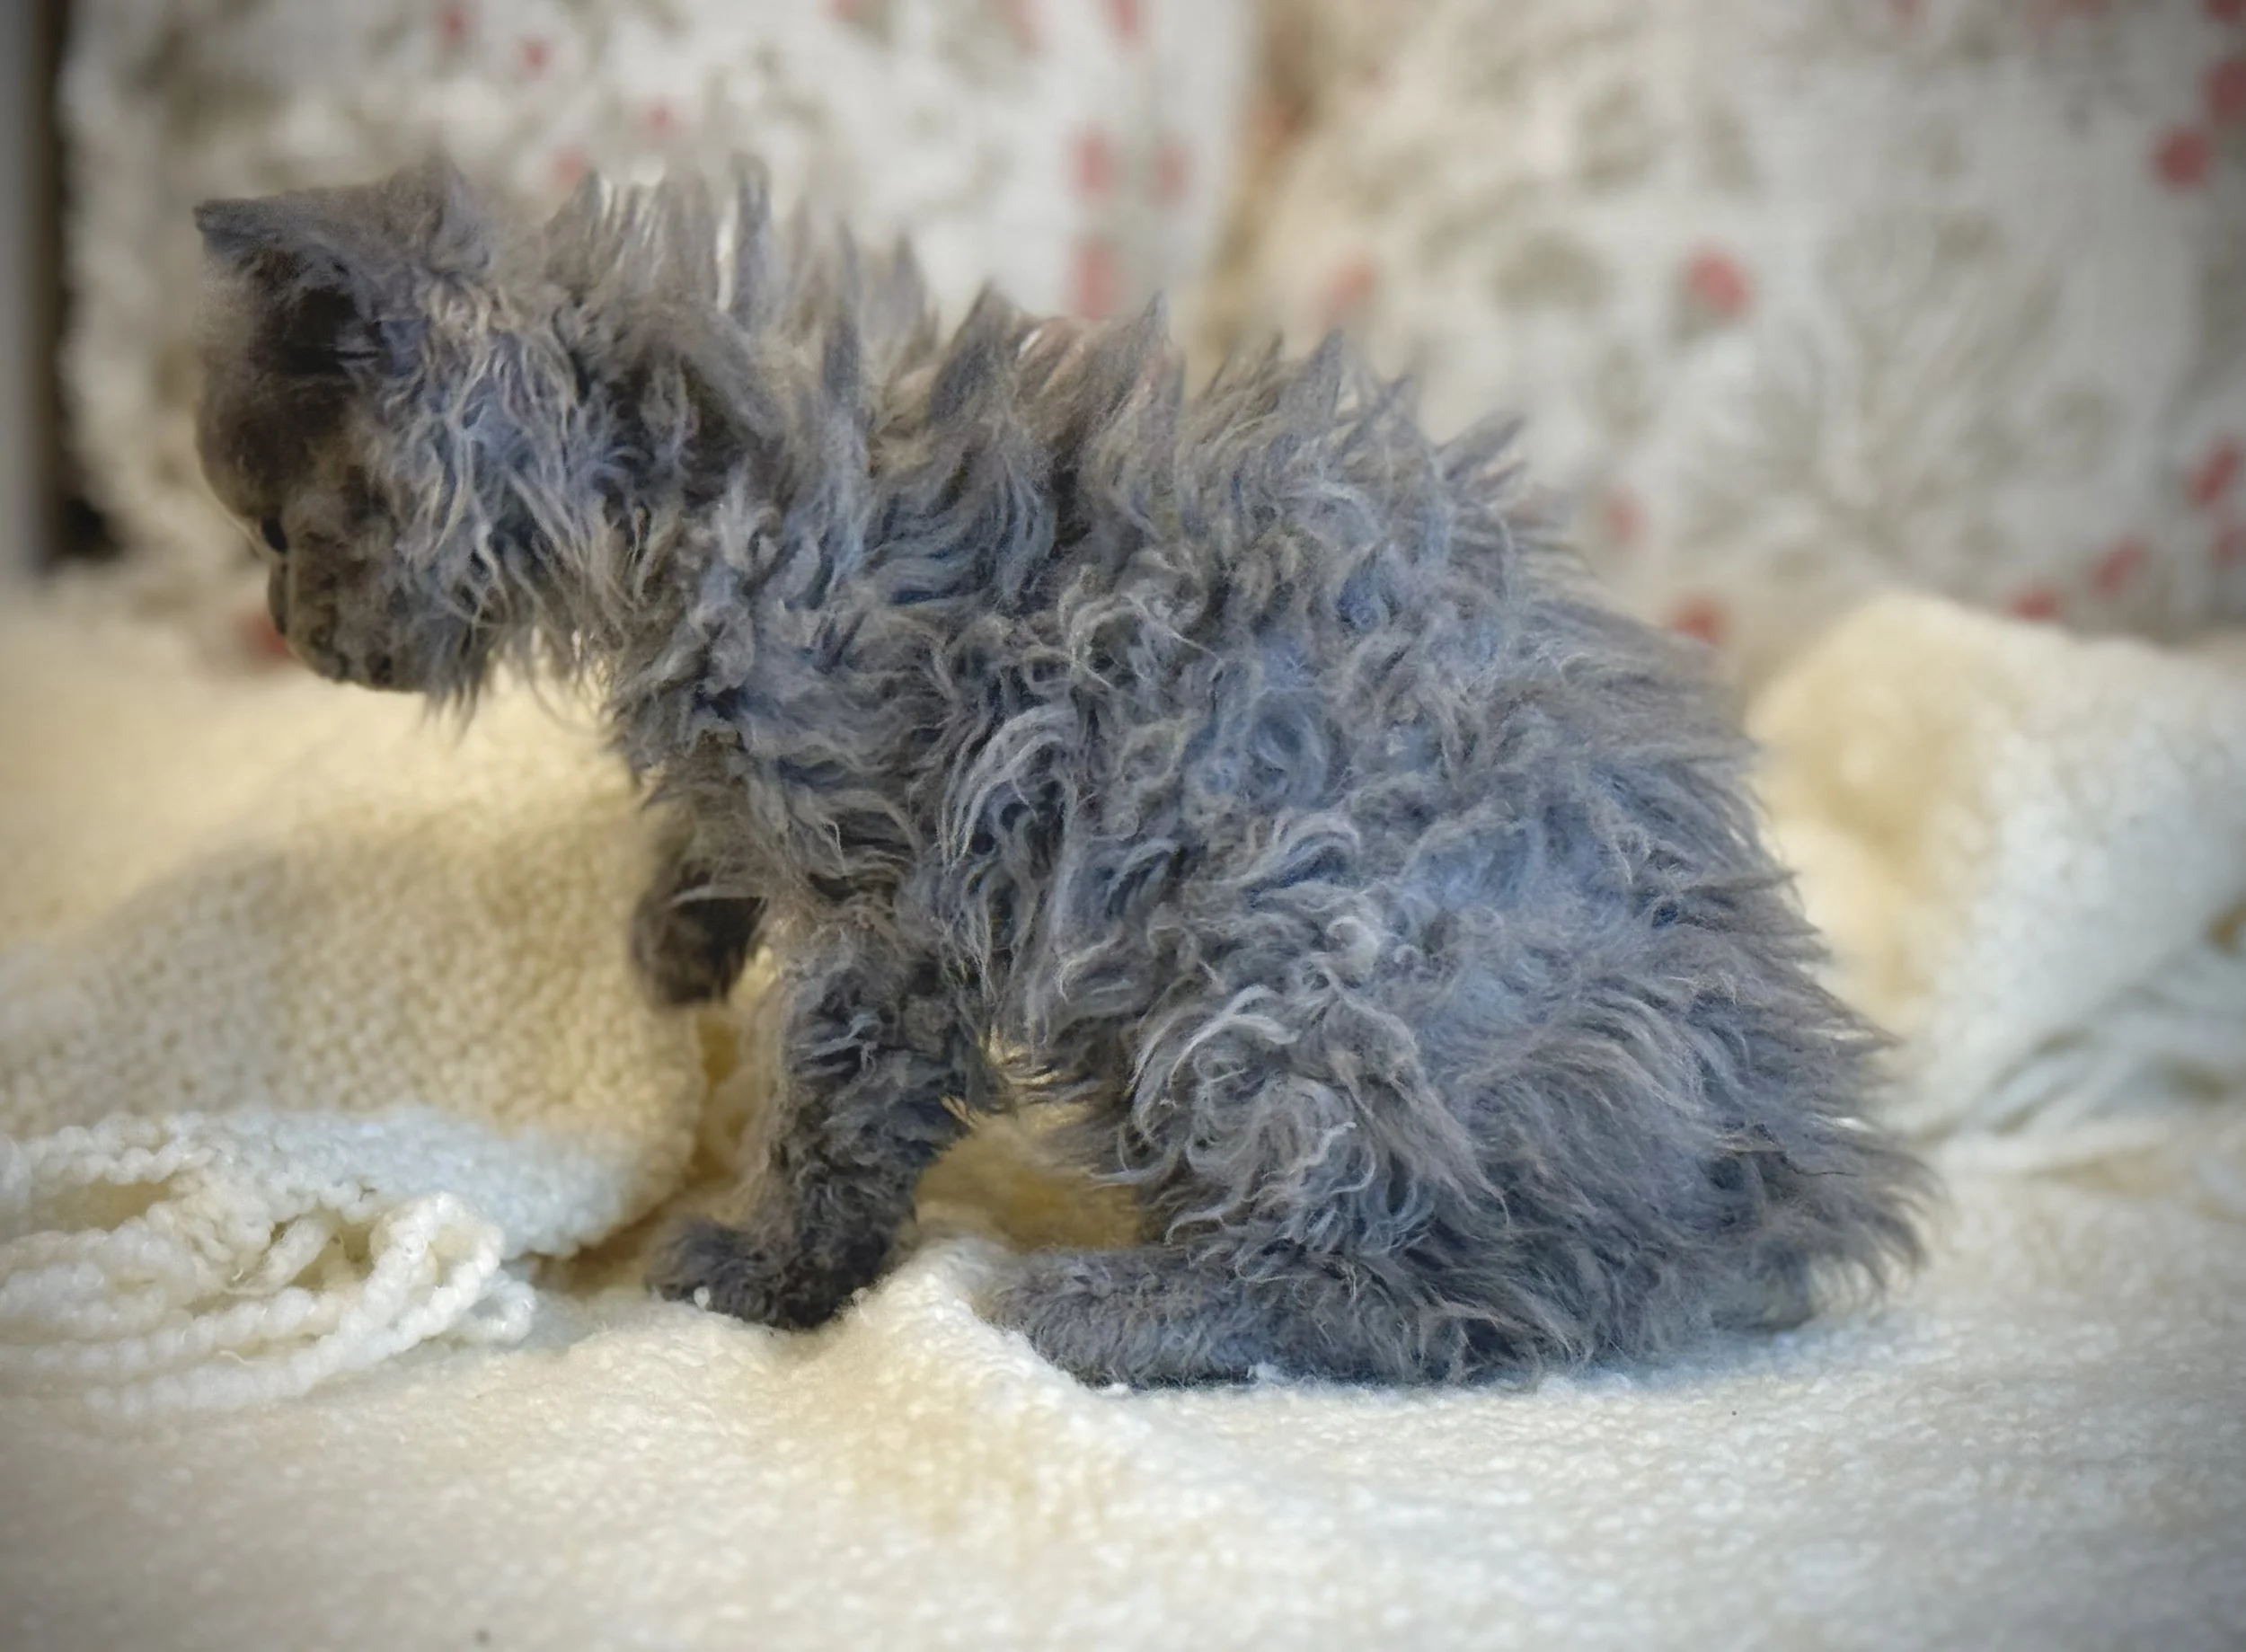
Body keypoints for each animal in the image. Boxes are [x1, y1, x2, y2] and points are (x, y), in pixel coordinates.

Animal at [192, 156, 1925, 1386]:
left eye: (278, 530)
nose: (292, 630)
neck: (705, 481)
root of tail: (1767, 1176)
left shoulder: (899, 913)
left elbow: (835, 1120)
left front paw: (771, 1274)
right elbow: (709, 837)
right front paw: (674, 941)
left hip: (1287, 976)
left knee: (1457, 1298)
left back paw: (1109, 1309)